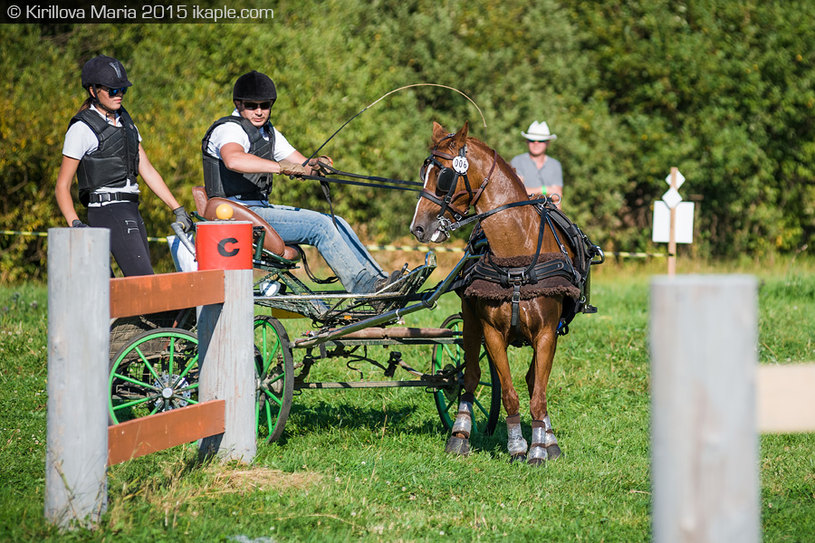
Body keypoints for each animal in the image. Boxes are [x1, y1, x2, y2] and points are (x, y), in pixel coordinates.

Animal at [412, 121, 596, 466]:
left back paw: (548, 439)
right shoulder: (492, 333)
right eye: (423, 171)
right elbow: (509, 394)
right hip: (470, 323)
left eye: (444, 175)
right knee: (468, 376)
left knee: (533, 382)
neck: (516, 256)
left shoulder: (547, 334)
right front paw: (517, 447)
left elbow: (538, 394)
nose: (418, 227)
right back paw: (460, 433)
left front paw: (539, 447)